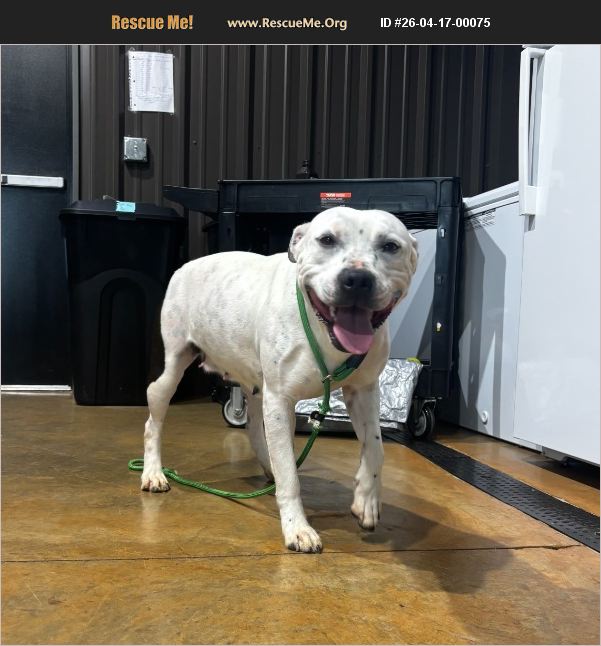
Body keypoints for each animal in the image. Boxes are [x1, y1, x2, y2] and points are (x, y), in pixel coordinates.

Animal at [141, 206, 418, 552]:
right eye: (327, 240)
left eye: (390, 246)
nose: (357, 279)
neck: (321, 330)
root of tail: (186, 265)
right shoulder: (280, 401)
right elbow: (290, 475)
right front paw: (297, 527)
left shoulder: (364, 391)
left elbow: (376, 448)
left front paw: (366, 500)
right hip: (175, 367)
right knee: (154, 415)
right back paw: (153, 473)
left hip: (257, 385)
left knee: (254, 429)